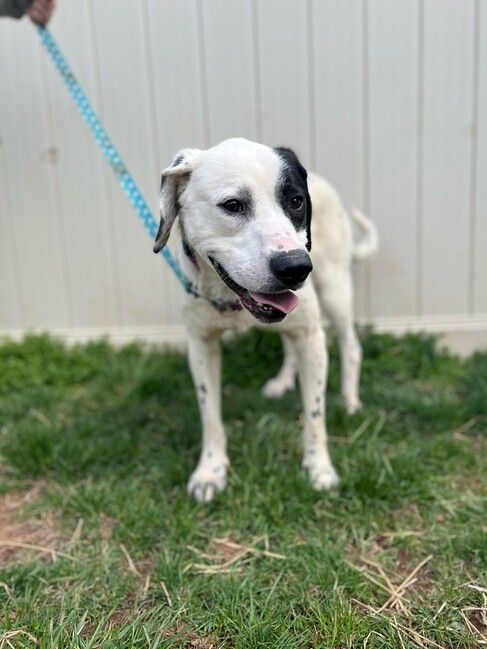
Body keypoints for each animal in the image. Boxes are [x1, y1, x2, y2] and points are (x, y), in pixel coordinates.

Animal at [154, 135, 380, 502]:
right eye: (232, 205)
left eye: (296, 201)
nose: (296, 268)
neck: (232, 301)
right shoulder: (201, 344)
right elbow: (210, 414)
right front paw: (210, 470)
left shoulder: (312, 338)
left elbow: (315, 414)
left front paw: (319, 468)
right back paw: (284, 381)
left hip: (335, 289)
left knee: (351, 345)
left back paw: (350, 400)